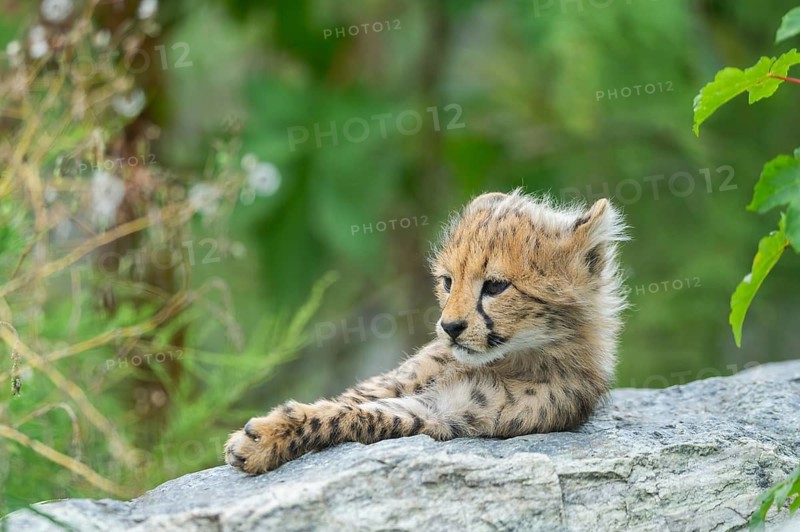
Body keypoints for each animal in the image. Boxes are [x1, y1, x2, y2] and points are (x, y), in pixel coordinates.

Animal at [225, 190, 627, 474]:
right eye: (448, 282)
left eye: (496, 286)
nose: (450, 327)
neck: (509, 357)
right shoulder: (402, 380)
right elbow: (350, 400)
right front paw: (265, 433)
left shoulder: (448, 411)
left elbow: (362, 415)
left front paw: (260, 441)